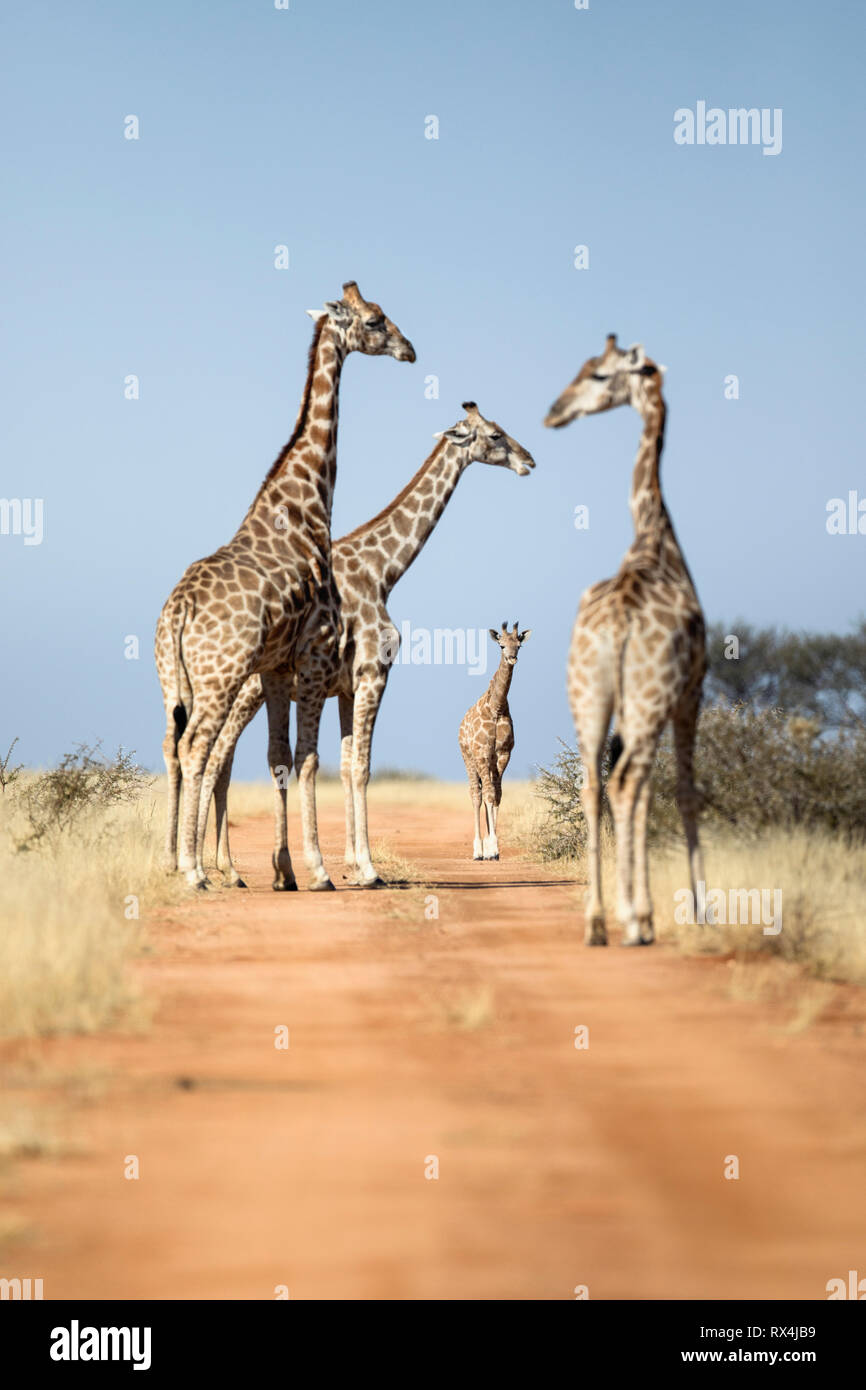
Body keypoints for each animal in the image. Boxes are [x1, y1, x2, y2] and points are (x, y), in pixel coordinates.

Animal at [155, 281, 415, 889]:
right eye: (375, 320)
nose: (409, 350)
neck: (307, 505)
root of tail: (178, 612)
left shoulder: (277, 667)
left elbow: (280, 756)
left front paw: (289, 870)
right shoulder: (317, 653)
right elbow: (311, 759)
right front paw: (319, 871)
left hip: (182, 681)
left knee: (181, 747)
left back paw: (184, 863)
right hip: (220, 676)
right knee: (198, 748)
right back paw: (194, 871)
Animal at [458, 622, 531, 861]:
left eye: (519, 644)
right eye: (501, 645)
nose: (512, 658)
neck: (497, 708)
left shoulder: (503, 754)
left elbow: (497, 795)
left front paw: (494, 849)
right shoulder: (482, 753)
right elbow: (488, 795)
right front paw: (490, 849)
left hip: (488, 762)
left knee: (487, 791)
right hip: (469, 758)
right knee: (476, 794)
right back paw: (477, 850)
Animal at [544, 334, 706, 946]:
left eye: (597, 374)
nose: (555, 411)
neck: (655, 538)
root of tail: (619, 626)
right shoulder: (690, 694)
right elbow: (682, 790)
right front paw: (697, 908)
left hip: (588, 696)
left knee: (596, 783)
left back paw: (596, 921)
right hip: (648, 697)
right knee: (628, 783)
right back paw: (634, 921)